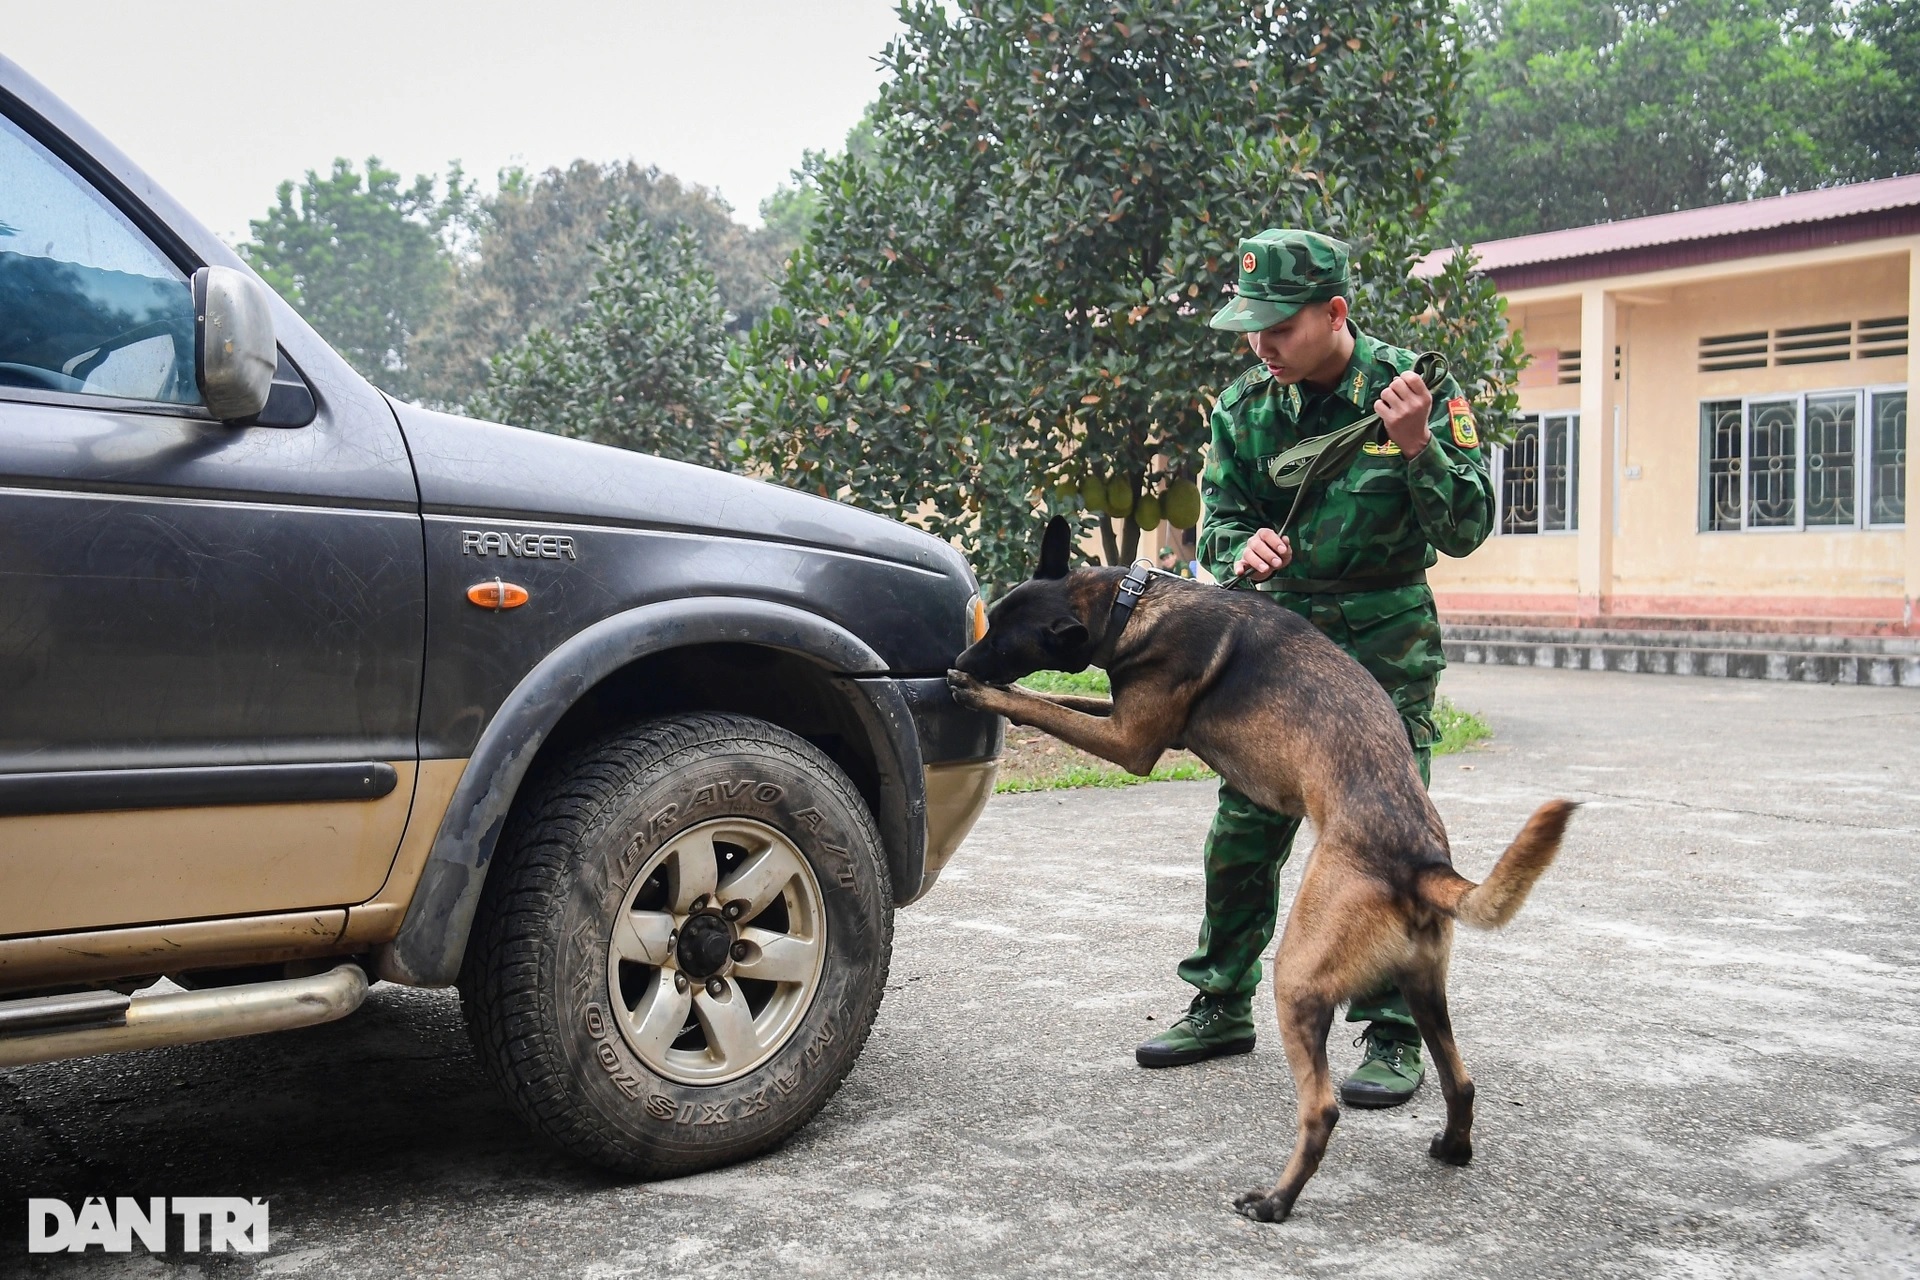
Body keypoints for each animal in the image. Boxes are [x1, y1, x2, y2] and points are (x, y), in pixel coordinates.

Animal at [944, 514, 1574, 1228]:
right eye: (992, 620)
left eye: (1002, 640)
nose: (959, 663)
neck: (1132, 604)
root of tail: (1422, 861)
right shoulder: (1119, 713)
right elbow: (1050, 695)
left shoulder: (1130, 742)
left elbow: (1046, 708)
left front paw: (985, 692)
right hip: (1422, 990)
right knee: (1460, 1079)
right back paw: (1452, 1147)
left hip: (1299, 980)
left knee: (1321, 1109)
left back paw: (1275, 1201)